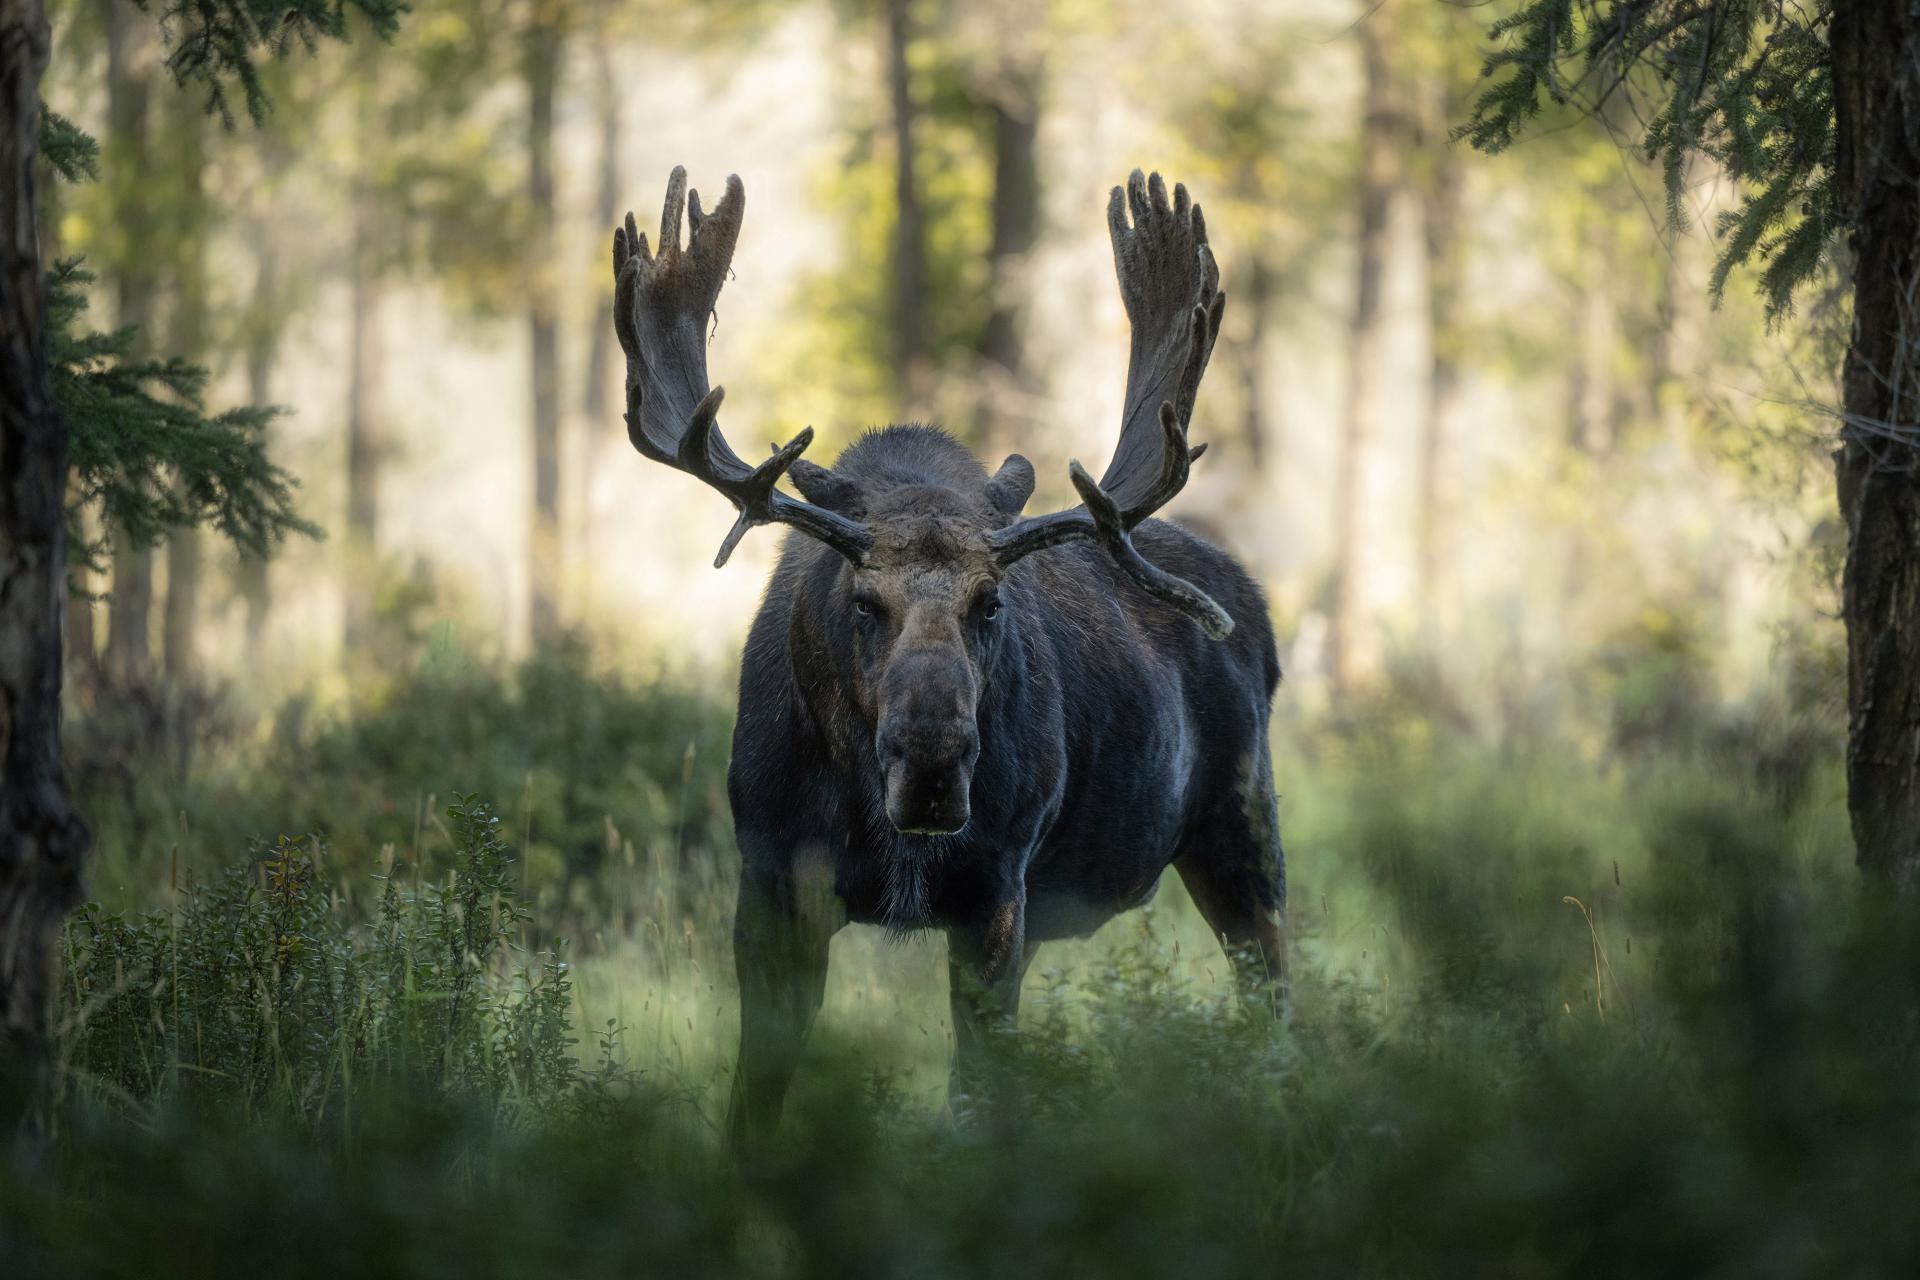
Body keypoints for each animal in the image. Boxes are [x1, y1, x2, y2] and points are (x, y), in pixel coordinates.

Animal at [606, 167, 1282, 1143]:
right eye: (862, 601)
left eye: (991, 602)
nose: (930, 765)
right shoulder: (770, 879)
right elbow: (755, 1101)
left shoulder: (997, 889)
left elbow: (983, 1100)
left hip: (1244, 826)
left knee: (1279, 1007)